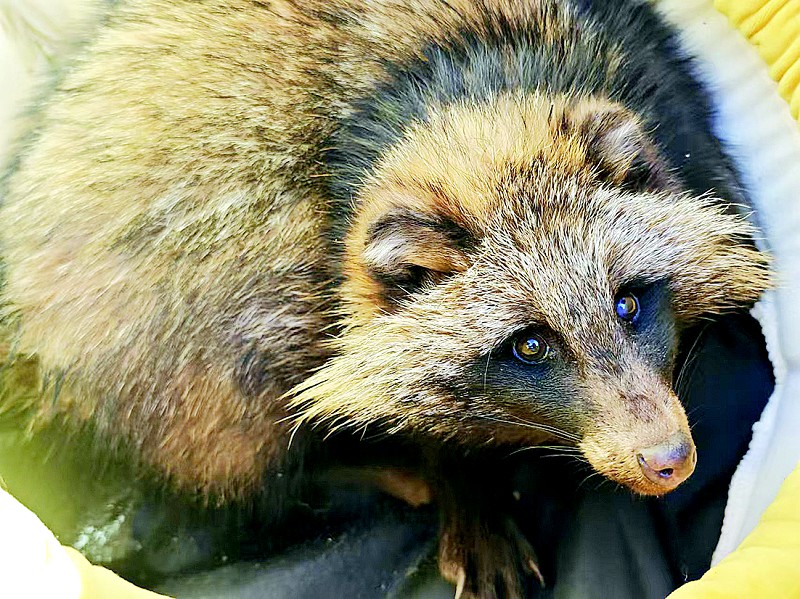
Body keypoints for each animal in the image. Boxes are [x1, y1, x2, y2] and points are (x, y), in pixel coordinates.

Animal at [0, 0, 770, 596]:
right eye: (530, 344)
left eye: (629, 304)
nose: (668, 458)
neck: (468, 90)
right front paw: (454, 476)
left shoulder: (663, 82)